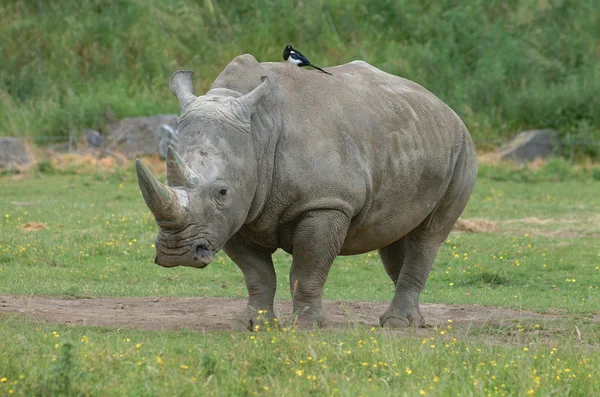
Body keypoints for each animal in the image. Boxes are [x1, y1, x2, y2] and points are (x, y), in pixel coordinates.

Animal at [136, 54, 478, 330]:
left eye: (222, 191)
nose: (177, 254)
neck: (257, 136)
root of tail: (442, 105)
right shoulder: (234, 214)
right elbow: (257, 274)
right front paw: (253, 325)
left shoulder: (324, 203)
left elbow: (307, 269)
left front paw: (305, 327)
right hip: (413, 137)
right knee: (393, 234)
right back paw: (412, 321)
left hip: (463, 147)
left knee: (429, 235)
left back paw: (398, 324)